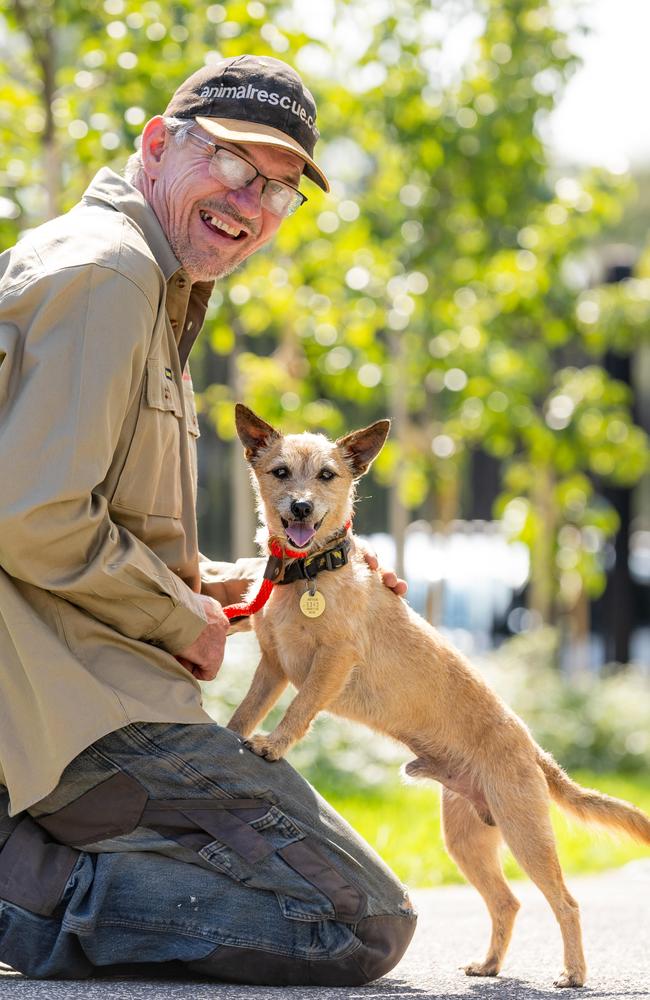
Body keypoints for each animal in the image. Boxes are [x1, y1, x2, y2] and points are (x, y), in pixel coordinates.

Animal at [227, 402, 648, 988]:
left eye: (328, 475)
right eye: (281, 472)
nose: (301, 507)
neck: (306, 574)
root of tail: (533, 750)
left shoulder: (329, 664)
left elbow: (299, 709)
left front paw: (272, 745)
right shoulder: (272, 667)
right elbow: (248, 709)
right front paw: (227, 735)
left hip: (525, 833)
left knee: (565, 901)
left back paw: (573, 973)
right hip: (466, 839)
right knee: (508, 901)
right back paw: (490, 964)